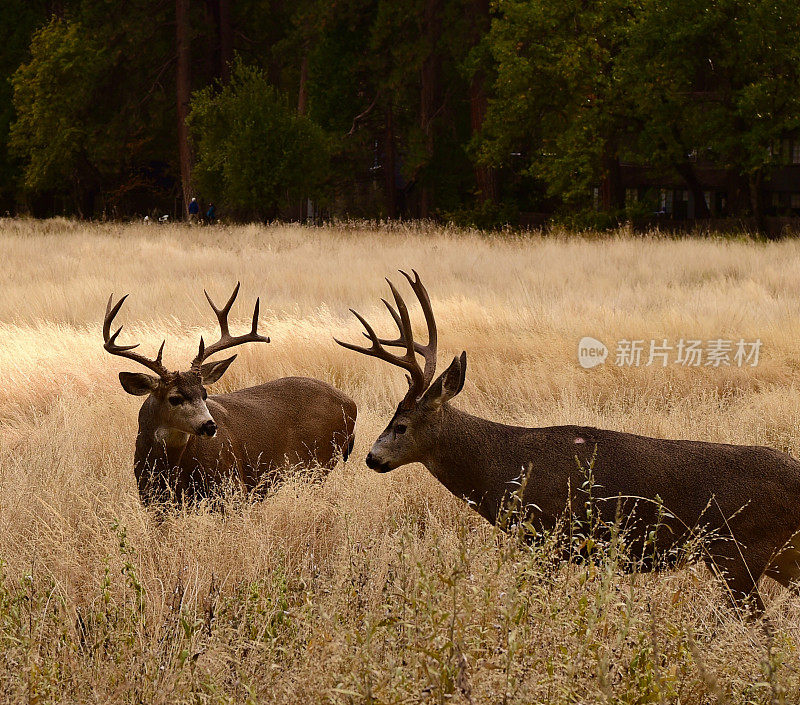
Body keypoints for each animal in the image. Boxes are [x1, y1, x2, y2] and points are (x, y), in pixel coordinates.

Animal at [106, 284, 356, 504]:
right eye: (174, 398)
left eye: (205, 394)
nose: (209, 426)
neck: (170, 466)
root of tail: (351, 404)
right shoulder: (151, 498)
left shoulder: (232, 486)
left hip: (318, 462)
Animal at [336, 270, 800, 612]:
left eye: (401, 425)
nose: (371, 458)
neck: (503, 467)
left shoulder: (549, 536)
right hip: (778, 556)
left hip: (738, 553)